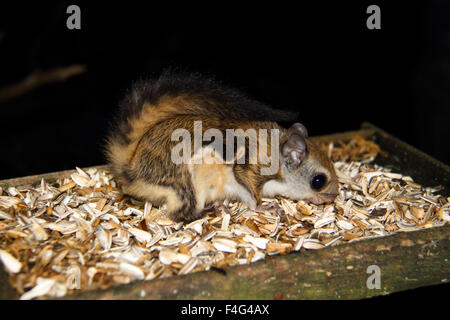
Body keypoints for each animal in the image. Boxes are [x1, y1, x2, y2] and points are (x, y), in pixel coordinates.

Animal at [105, 71, 338, 222]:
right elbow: (251, 195)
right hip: (185, 184)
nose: (331, 198)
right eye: (318, 181)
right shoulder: (249, 169)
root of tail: (131, 172)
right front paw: (266, 207)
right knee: (178, 215)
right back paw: (208, 211)